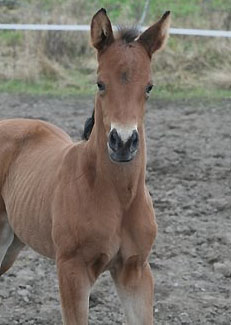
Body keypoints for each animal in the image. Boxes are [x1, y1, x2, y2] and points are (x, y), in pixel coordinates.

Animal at [0, 8, 170, 322]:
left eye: (149, 87)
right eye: (100, 83)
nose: (123, 142)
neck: (117, 198)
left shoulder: (135, 270)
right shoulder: (72, 271)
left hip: (12, 242)